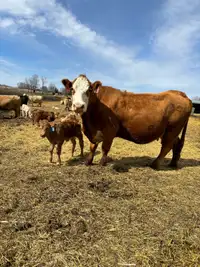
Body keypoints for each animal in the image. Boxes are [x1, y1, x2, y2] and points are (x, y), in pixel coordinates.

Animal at [61, 74, 193, 171]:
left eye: (89, 90)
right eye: (72, 89)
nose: (78, 106)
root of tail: (179, 93)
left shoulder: (110, 130)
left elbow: (105, 148)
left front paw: (102, 163)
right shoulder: (94, 131)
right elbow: (92, 147)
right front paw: (88, 162)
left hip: (172, 130)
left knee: (167, 146)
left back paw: (154, 164)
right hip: (170, 131)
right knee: (176, 144)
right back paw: (173, 163)